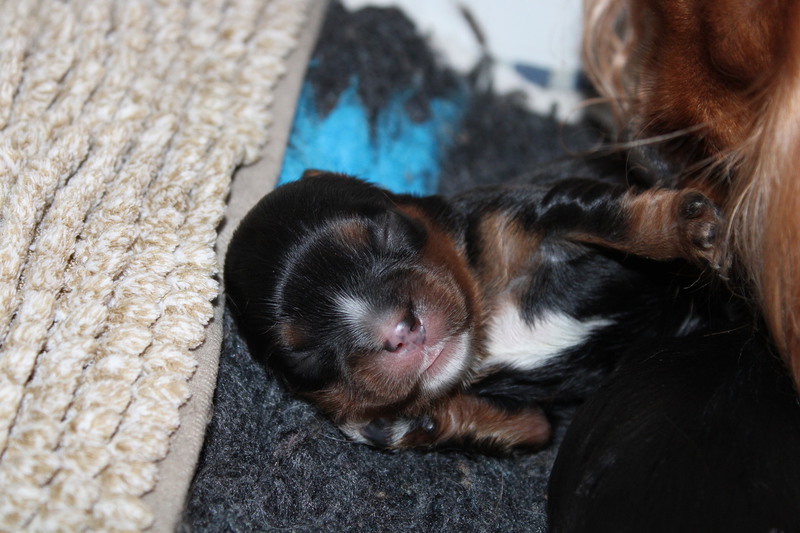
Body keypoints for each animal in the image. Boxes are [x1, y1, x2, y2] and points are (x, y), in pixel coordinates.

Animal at [224, 170, 721, 453]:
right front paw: (402, 424)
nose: (401, 331)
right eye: (305, 355)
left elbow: (612, 219)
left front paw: (686, 227)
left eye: (384, 234)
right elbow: (525, 427)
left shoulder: (538, 212)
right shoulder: (531, 417)